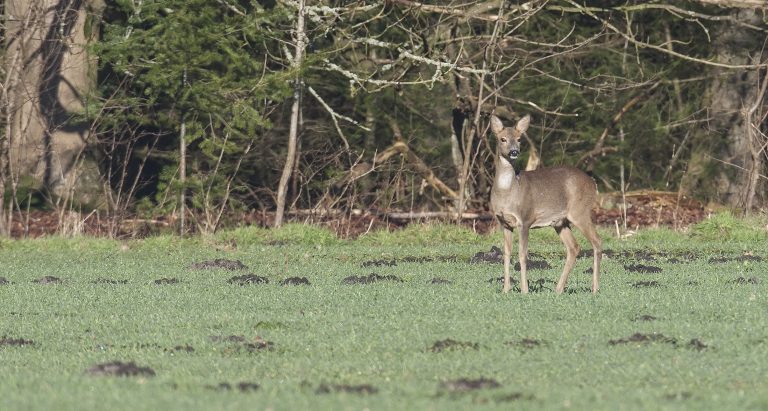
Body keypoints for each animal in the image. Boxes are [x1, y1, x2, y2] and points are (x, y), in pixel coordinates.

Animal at [489, 114, 601, 294]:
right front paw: (505, 289)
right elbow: (506, 254)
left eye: (519, 139)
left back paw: (595, 288)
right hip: (560, 222)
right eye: (503, 139)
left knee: (597, 241)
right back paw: (558, 289)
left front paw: (524, 290)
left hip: (580, 211)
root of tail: (593, 183)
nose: (514, 152)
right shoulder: (504, 222)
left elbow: (522, 254)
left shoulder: (525, 219)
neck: (507, 192)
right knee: (574, 247)